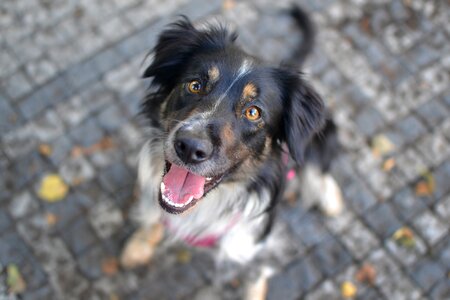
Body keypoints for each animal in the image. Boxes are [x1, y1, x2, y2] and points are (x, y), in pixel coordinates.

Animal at [121, 5, 342, 298]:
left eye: (253, 112)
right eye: (195, 85)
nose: (190, 147)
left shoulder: (251, 246)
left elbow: (253, 281)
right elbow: (153, 214)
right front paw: (140, 244)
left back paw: (330, 197)